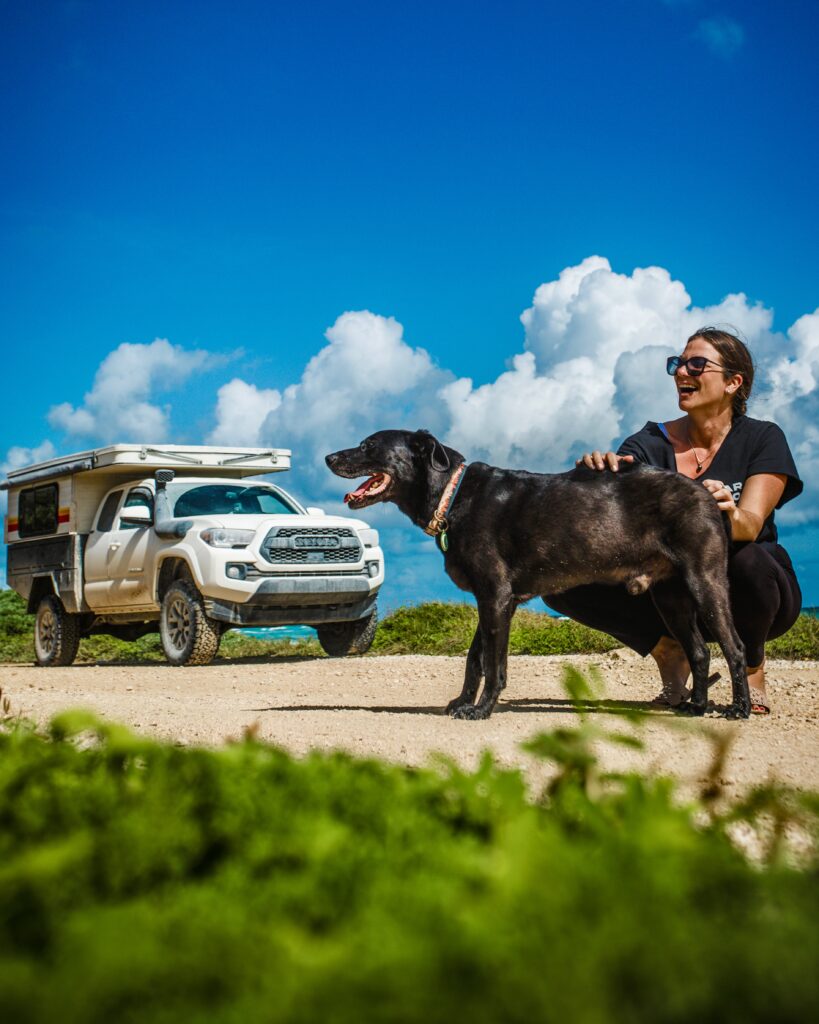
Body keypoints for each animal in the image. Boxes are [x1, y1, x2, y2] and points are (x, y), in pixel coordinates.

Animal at [325, 430, 749, 720]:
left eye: (368, 445)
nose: (328, 456)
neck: (453, 493)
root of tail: (705, 493)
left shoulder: (495, 598)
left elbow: (494, 664)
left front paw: (481, 710)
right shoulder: (493, 601)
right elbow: (475, 658)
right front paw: (462, 702)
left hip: (705, 582)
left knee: (734, 648)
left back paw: (739, 708)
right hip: (671, 598)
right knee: (699, 651)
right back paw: (696, 707)